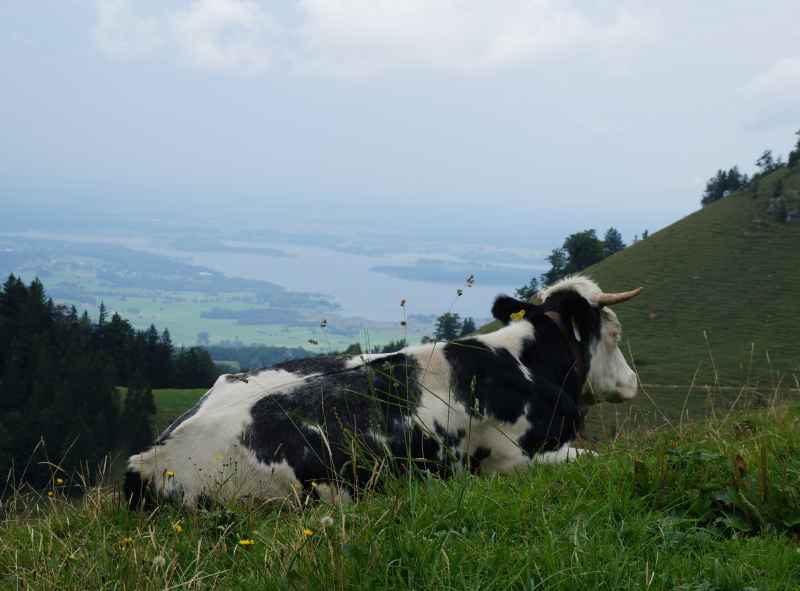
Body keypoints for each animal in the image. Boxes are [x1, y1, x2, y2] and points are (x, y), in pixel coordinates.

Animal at [124, 275, 641, 509]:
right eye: (615, 333)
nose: (633, 382)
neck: (524, 365)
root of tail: (148, 458)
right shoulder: (512, 461)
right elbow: (594, 458)